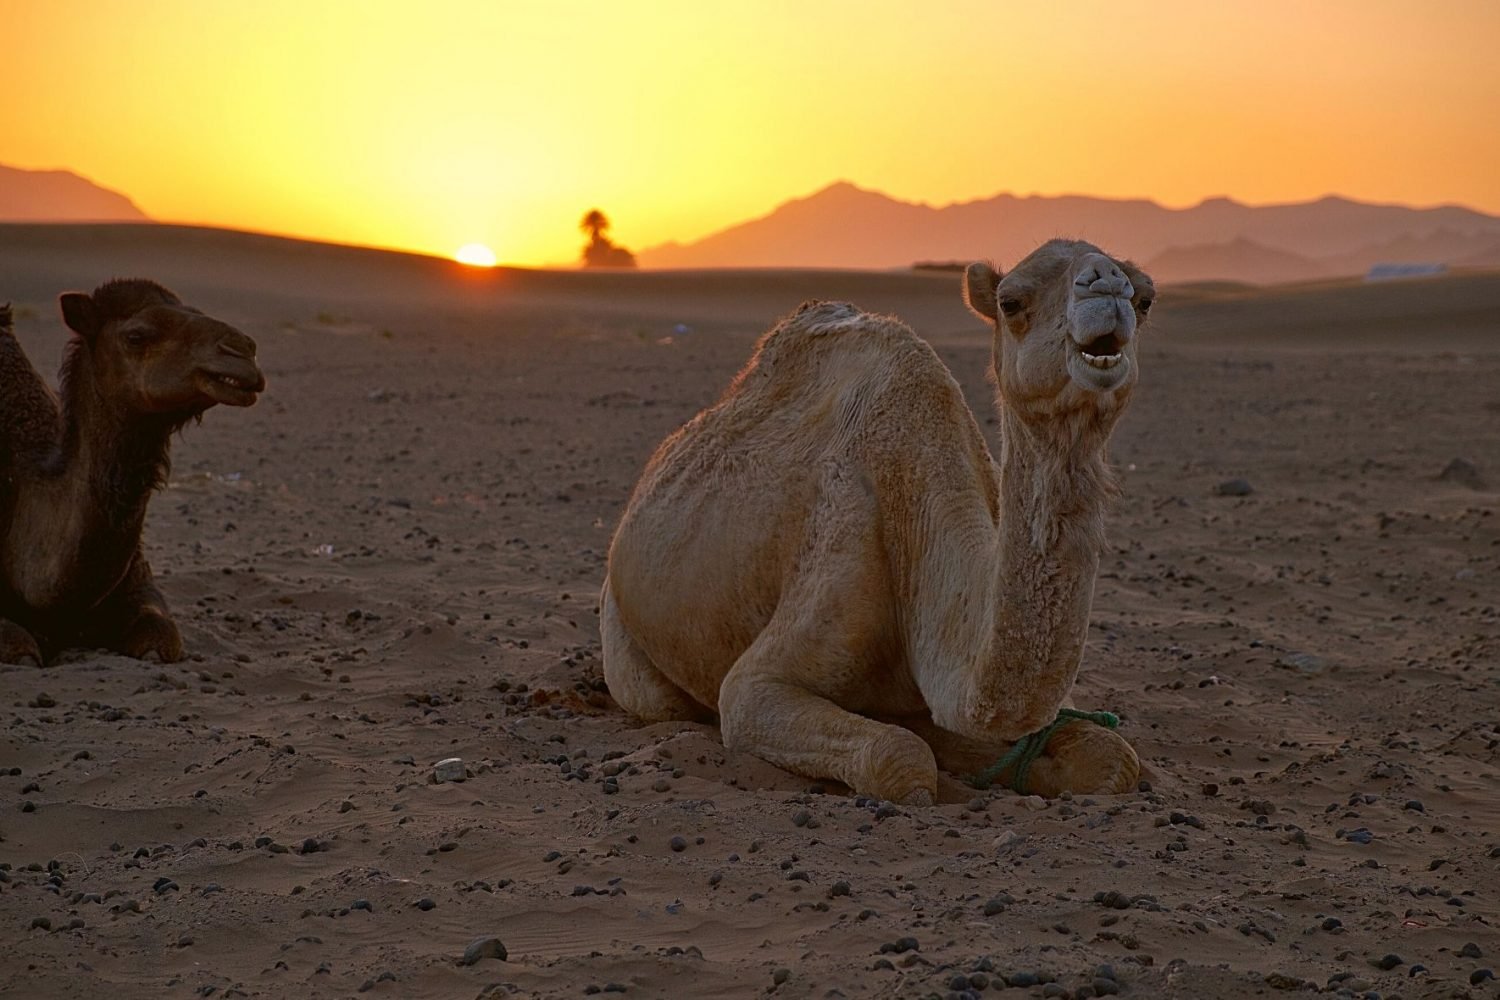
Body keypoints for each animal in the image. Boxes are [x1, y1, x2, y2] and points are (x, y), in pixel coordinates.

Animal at [603, 238, 1152, 803]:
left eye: (1146, 299)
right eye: (1011, 302)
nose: (1107, 284)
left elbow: (1110, 757)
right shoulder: (768, 667)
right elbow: (899, 755)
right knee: (662, 701)